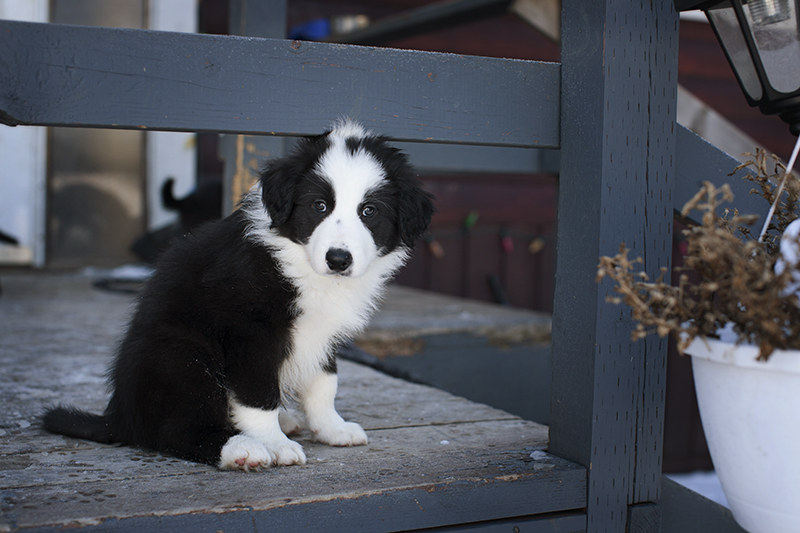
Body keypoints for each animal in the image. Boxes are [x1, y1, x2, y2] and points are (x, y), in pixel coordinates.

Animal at [43, 120, 434, 470]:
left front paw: (331, 428)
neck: (299, 263)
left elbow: (324, 384)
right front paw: (275, 444)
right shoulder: (249, 331)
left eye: (370, 211)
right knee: (175, 429)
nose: (338, 259)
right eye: (319, 206)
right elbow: (257, 394)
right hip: (181, 356)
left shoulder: (323, 334)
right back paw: (240, 448)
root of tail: (120, 414)